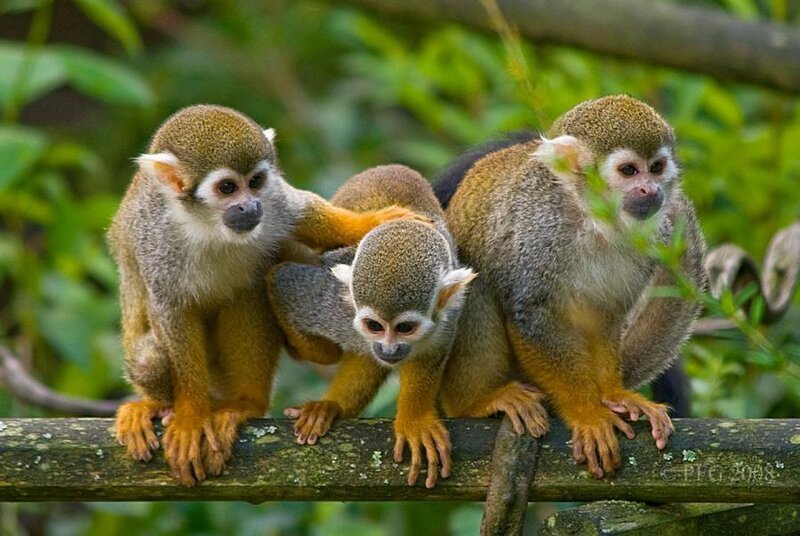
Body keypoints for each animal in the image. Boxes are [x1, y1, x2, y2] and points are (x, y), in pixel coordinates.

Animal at [107, 105, 423, 486]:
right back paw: (157, 406)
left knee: (251, 290)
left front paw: (371, 222)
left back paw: (246, 404)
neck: (206, 225)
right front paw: (190, 416)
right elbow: (170, 310)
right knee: (147, 358)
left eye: (255, 182)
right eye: (228, 187)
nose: (249, 207)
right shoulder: (156, 238)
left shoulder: (274, 201)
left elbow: (304, 213)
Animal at [267, 164, 549, 488]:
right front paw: (324, 360)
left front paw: (414, 420)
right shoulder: (328, 302)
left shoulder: (449, 314)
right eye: (374, 325)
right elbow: (281, 281)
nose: (388, 349)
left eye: (404, 328)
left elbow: (430, 356)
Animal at [439, 95, 707, 478]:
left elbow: (606, 315)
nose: (651, 190)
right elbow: (531, 312)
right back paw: (476, 400)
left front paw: (614, 395)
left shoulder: (651, 236)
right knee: (475, 279)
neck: (592, 218)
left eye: (656, 168)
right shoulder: (539, 229)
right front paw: (588, 413)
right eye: (629, 171)